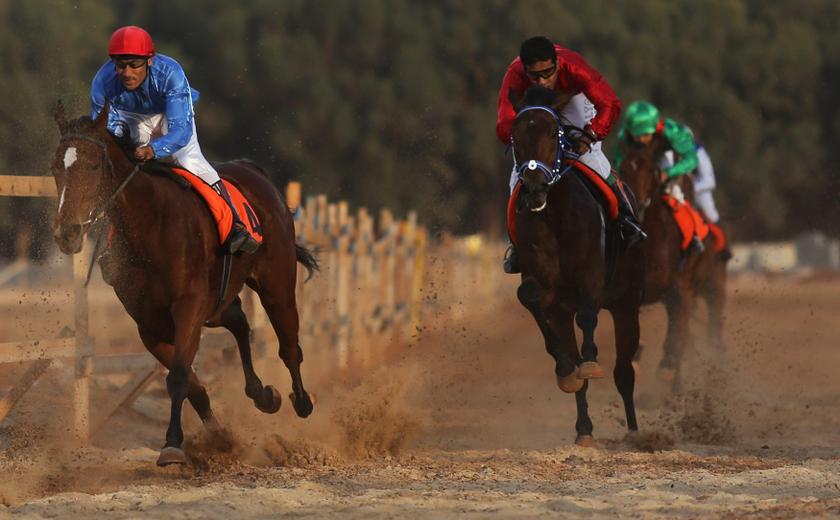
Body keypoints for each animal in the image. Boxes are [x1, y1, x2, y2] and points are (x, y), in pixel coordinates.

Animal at [50, 102, 318, 466]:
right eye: (55, 168)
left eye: (93, 165)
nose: (67, 233)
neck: (151, 226)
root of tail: (254, 171)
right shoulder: (149, 324)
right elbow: (192, 383)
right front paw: (219, 437)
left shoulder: (189, 307)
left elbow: (178, 376)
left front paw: (173, 444)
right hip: (217, 303)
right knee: (239, 322)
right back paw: (262, 394)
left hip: (276, 283)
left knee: (289, 343)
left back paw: (301, 400)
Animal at [509, 87, 645, 446]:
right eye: (515, 136)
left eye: (552, 134)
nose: (534, 186)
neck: (554, 214)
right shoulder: (546, 289)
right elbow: (530, 298)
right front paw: (566, 369)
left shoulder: (591, 274)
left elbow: (588, 316)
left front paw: (590, 361)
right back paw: (584, 429)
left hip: (627, 305)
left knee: (624, 372)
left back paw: (635, 432)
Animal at [618, 135, 728, 388]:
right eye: (623, 168)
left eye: (651, 169)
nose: (634, 204)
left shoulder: (680, 290)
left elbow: (677, 336)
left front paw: (667, 368)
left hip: (713, 286)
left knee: (711, 326)